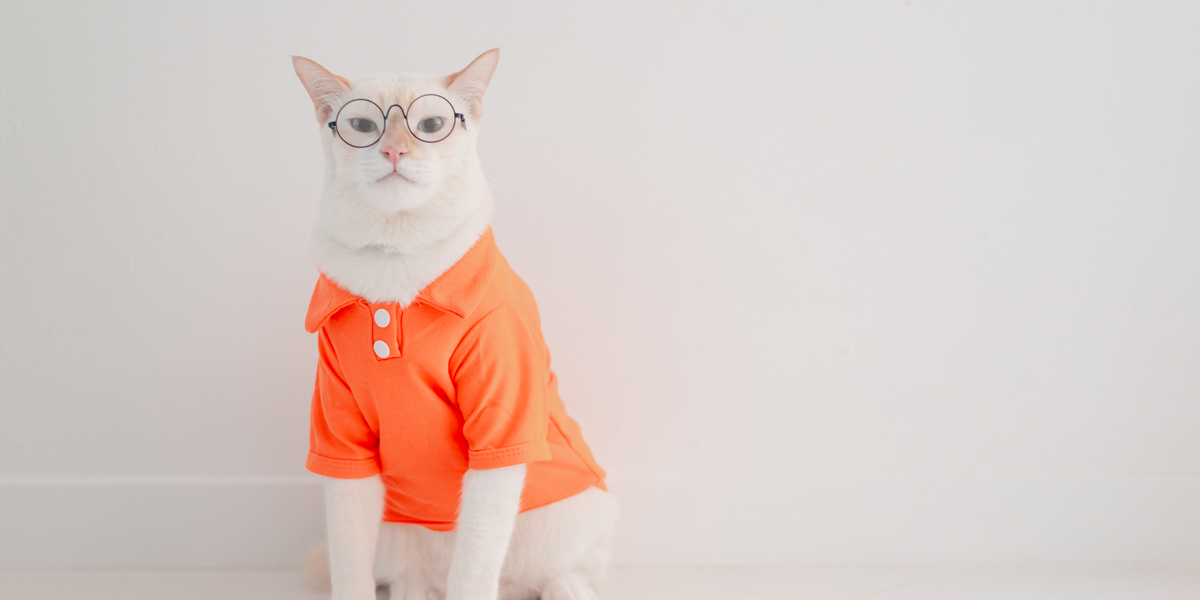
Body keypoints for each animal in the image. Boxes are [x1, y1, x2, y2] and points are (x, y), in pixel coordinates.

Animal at [292, 50, 619, 600]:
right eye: (363, 125)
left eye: (430, 125)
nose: (395, 151)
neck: (395, 255)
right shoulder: (342, 442)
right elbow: (350, 566)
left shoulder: (498, 436)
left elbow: (476, 566)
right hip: (395, 532)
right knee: (414, 578)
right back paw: (414, 590)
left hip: (573, 514)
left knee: (560, 570)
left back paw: (566, 589)